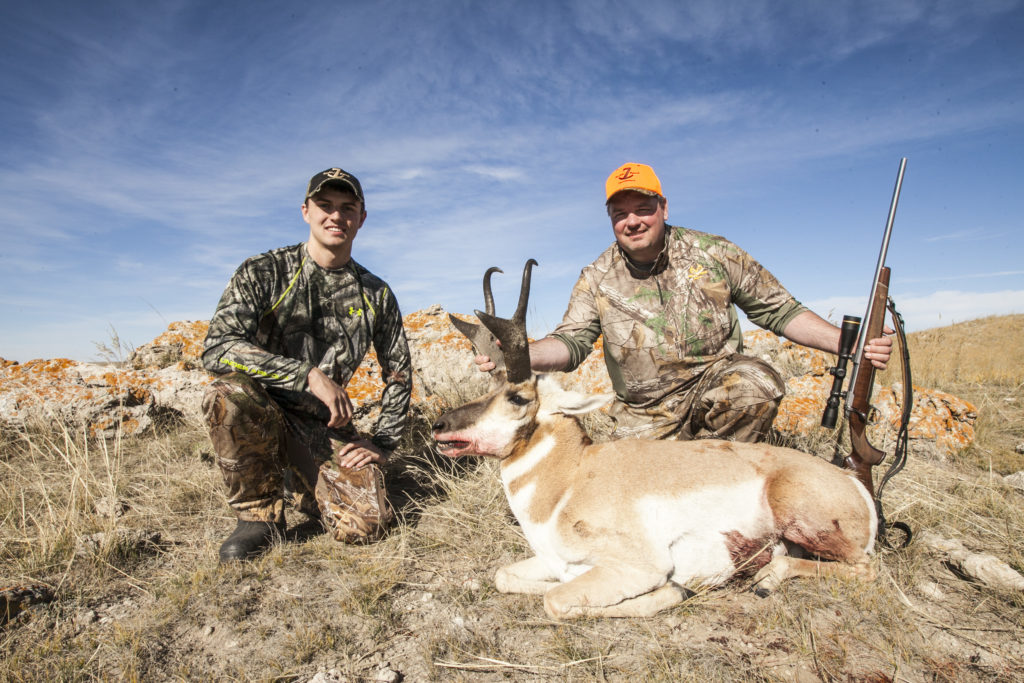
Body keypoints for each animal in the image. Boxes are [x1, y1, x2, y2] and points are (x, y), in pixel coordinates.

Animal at [432, 260, 880, 618]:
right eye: (487, 389)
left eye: (518, 397)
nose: (439, 426)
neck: (570, 480)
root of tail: (855, 485)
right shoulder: (550, 562)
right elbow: (503, 576)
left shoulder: (637, 567)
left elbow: (556, 601)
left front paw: (677, 590)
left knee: (862, 568)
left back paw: (765, 580)